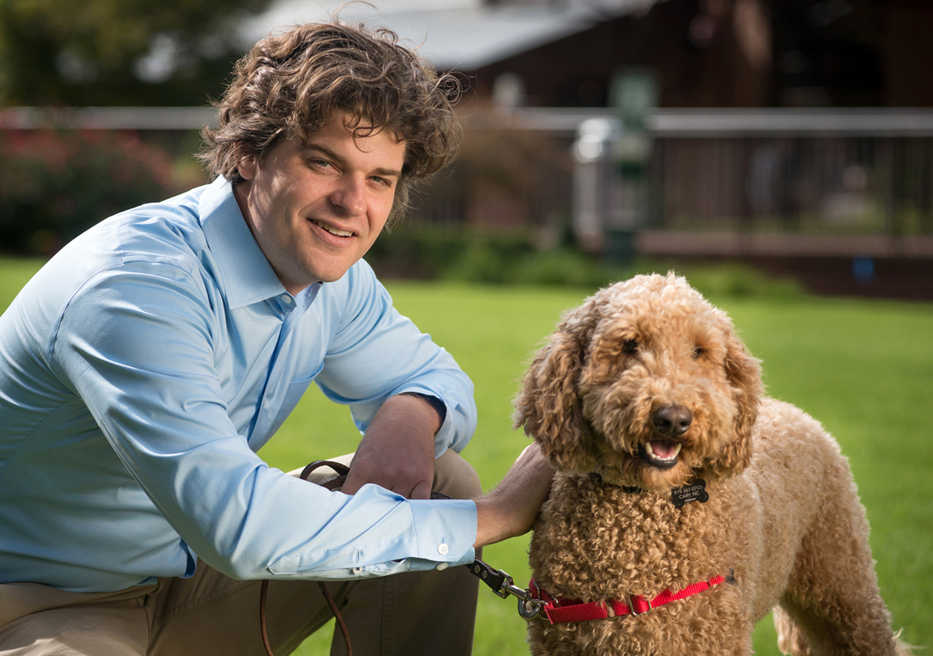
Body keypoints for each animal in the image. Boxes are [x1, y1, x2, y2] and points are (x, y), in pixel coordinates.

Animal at [512, 274, 908, 656]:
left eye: (699, 351)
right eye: (629, 344)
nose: (673, 418)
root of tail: (796, 412)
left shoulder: (712, 635)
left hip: (844, 583)